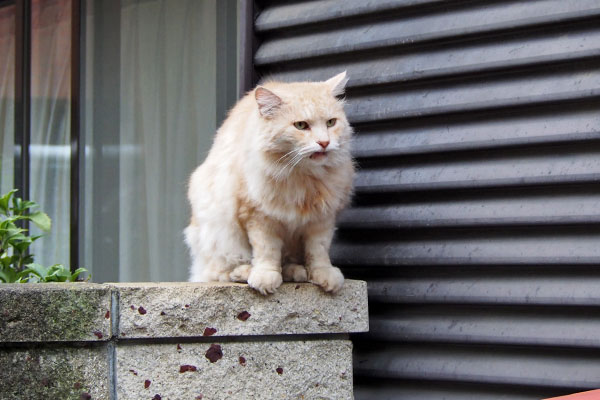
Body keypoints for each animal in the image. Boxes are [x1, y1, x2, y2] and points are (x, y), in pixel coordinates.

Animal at [183, 72, 352, 296]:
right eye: (301, 126)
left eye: (331, 123)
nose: (324, 143)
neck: (302, 177)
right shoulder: (258, 216)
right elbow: (266, 250)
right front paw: (265, 277)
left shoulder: (322, 218)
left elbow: (318, 250)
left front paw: (323, 275)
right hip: (219, 231)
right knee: (219, 271)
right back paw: (245, 272)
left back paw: (296, 272)